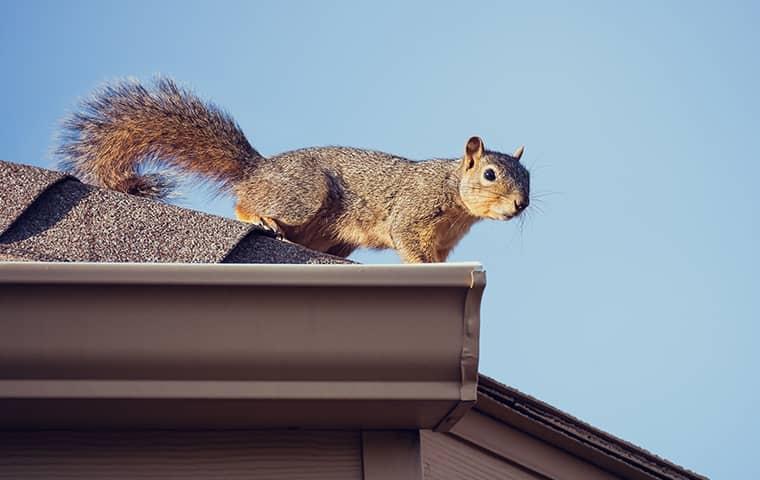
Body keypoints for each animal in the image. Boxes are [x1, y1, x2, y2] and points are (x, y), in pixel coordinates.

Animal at [57, 78, 530, 263]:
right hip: (304, 195)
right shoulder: (413, 211)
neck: (454, 193)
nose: (521, 204)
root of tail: (259, 169)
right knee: (244, 202)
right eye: (490, 174)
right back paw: (260, 217)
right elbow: (408, 242)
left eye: (529, 179)